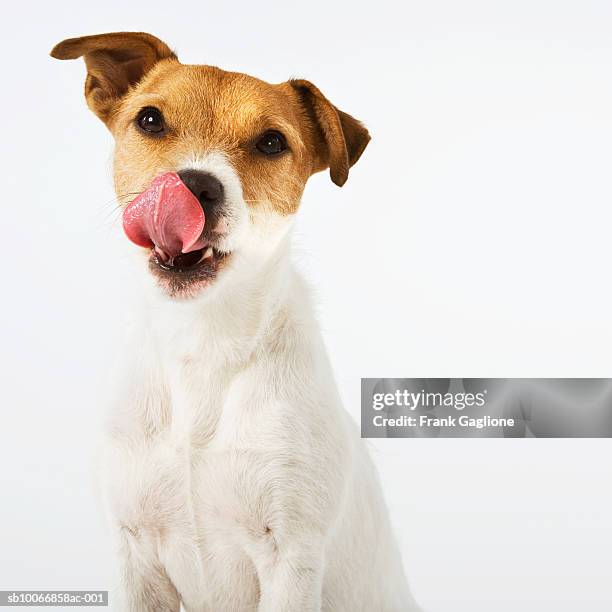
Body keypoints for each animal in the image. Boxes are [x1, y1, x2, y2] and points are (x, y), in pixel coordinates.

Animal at [52, 31, 418, 608]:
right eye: (150, 119)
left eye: (271, 142)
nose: (194, 186)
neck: (203, 342)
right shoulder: (135, 553)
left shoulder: (291, 559)